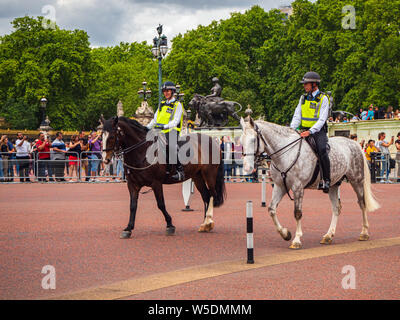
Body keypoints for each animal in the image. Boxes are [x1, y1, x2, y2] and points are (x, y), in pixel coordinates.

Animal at [239, 117, 380, 250]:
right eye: (241, 141)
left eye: (253, 140)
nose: (247, 167)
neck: (287, 154)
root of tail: (354, 143)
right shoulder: (280, 187)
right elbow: (271, 209)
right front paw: (285, 234)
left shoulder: (298, 188)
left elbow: (297, 213)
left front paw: (296, 240)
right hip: (333, 185)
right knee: (336, 208)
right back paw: (328, 236)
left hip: (357, 181)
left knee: (362, 204)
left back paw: (364, 233)